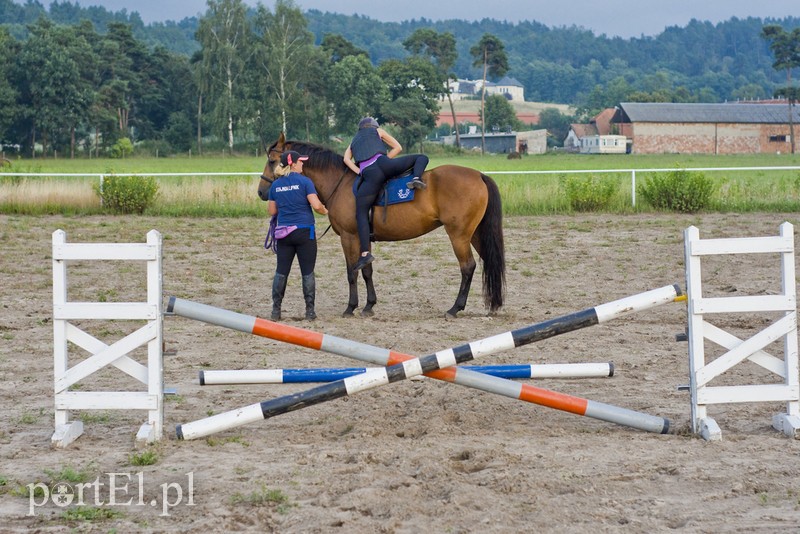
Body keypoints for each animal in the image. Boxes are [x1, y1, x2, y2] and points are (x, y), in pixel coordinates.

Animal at [260, 133, 504, 318]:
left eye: (272, 161)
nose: (262, 192)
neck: (341, 183)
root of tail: (479, 175)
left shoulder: (349, 237)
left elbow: (352, 271)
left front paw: (351, 307)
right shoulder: (364, 238)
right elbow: (367, 270)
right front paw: (369, 305)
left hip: (459, 235)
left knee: (468, 267)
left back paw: (455, 308)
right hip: (475, 234)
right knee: (489, 262)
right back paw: (494, 304)